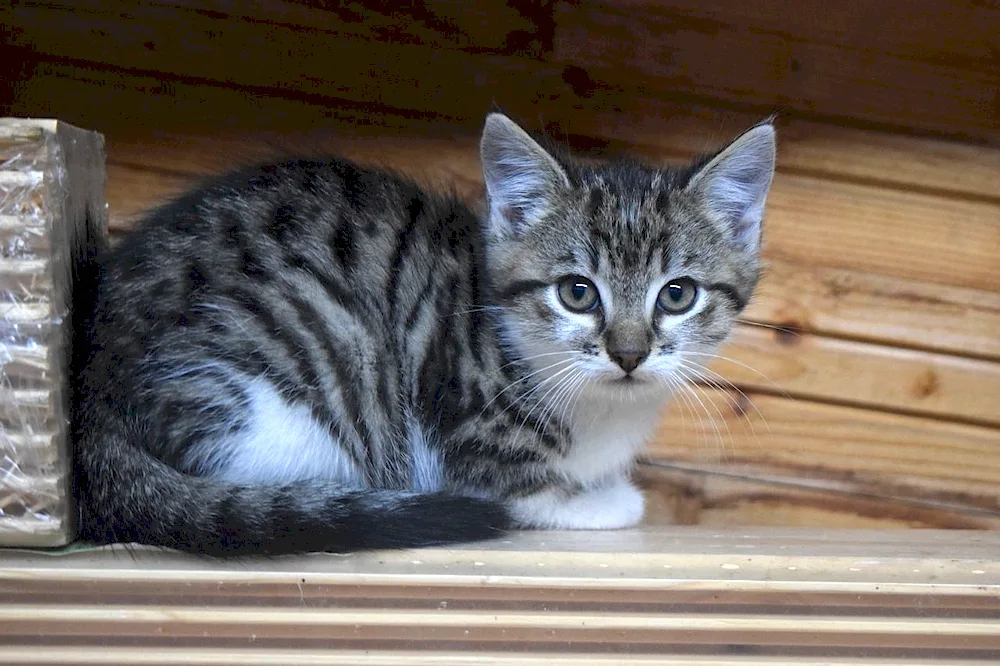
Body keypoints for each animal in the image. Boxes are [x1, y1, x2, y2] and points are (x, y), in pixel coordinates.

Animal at [70, 113, 776, 556]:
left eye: (677, 295)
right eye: (577, 293)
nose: (629, 354)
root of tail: (90, 398)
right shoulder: (454, 414)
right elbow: (512, 488)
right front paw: (597, 502)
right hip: (303, 360)